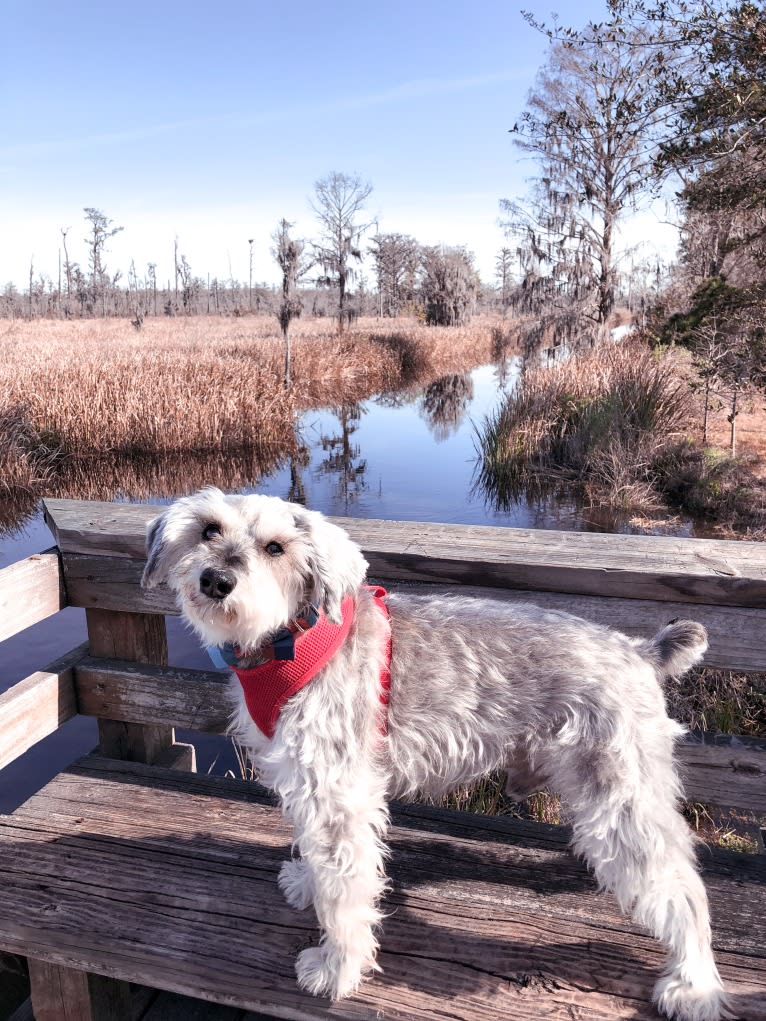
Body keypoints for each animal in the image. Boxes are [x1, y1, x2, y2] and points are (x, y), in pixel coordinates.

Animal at [140, 488, 735, 1021]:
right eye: (209, 530)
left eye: (275, 547)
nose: (215, 580)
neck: (290, 639)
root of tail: (640, 651)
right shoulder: (308, 785)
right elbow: (316, 856)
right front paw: (307, 884)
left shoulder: (338, 795)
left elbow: (346, 892)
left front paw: (336, 969)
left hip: (620, 795)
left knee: (683, 889)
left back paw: (694, 985)